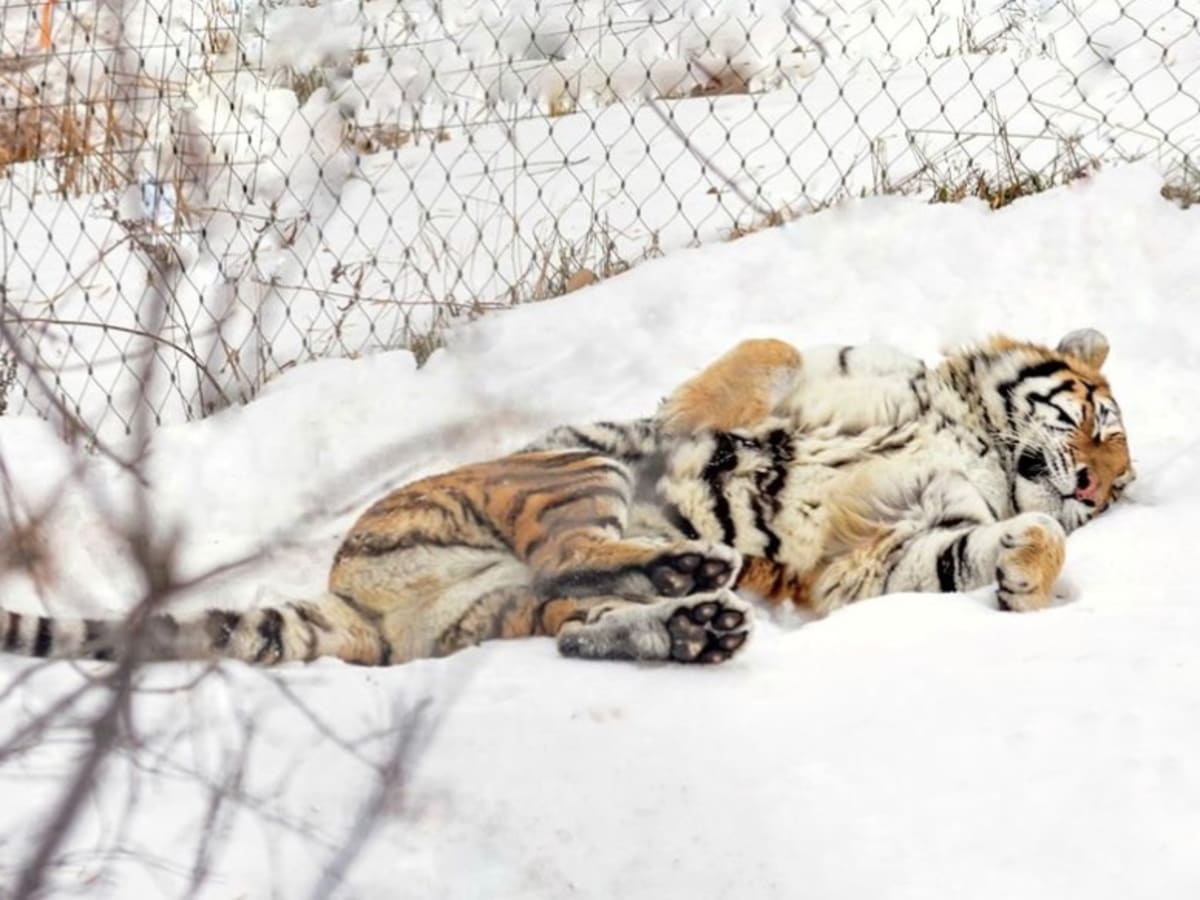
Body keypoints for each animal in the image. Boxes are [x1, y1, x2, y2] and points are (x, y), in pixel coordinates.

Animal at [0, 328, 1132, 667]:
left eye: (1120, 493)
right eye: (1097, 420)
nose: (1097, 484)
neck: (975, 439)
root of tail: (356, 601)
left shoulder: (884, 546)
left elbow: (981, 545)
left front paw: (1025, 574)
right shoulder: (829, 369)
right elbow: (758, 361)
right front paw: (695, 417)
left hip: (505, 604)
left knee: (570, 612)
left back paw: (693, 619)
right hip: (568, 474)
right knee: (572, 550)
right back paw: (693, 571)